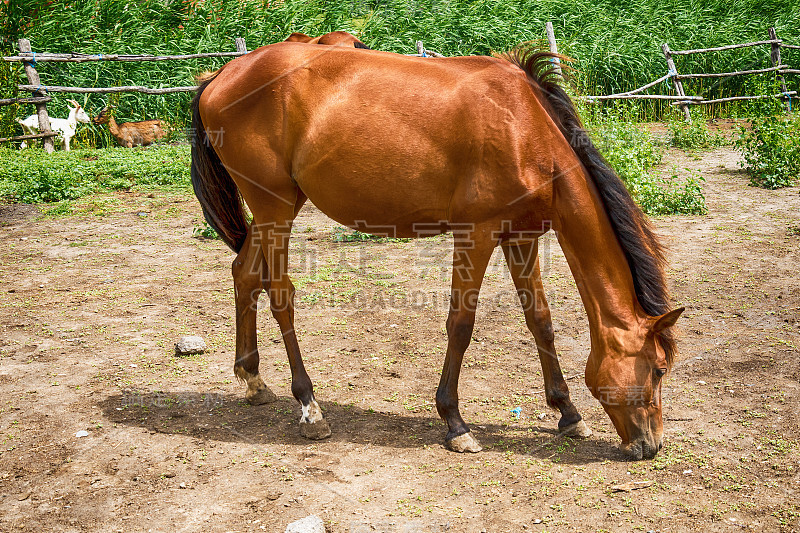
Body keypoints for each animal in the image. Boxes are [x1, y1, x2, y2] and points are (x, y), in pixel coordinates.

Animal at [191, 40, 684, 458]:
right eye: (659, 369)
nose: (651, 445)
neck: (524, 129)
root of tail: (222, 74)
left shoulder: (521, 237)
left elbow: (540, 323)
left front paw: (568, 413)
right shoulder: (477, 234)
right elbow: (461, 324)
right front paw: (455, 423)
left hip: (281, 205)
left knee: (244, 274)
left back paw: (253, 380)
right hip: (273, 207)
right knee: (280, 294)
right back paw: (310, 407)